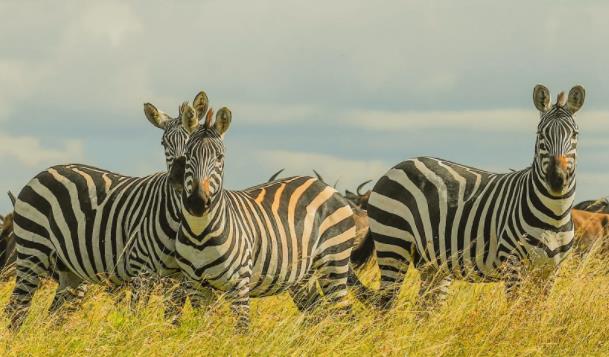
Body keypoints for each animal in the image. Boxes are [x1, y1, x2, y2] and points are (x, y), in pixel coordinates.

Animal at [4, 91, 209, 328]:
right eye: (163, 143)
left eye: (194, 141)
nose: (177, 178)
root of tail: (44, 171)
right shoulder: (141, 269)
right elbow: (136, 317)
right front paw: (135, 336)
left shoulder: (180, 278)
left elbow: (172, 319)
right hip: (32, 250)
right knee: (16, 309)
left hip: (69, 269)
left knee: (55, 315)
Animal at [172, 104, 356, 330]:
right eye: (188, 155)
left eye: (220, 157)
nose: (198, 203)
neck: (199, 233)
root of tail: (325, 186)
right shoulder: (195, 287)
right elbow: (202, 330)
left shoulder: (239, 284)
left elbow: (242, 330)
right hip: (304, 276)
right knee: (316, 312)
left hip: (334, 261)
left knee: (344, 313)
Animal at [352, 85, 584, 312]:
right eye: (540, 134)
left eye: (574, 134)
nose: (557, 179)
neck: (554, 216)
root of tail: (397, 166)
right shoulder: (513, 264)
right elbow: (517, 313)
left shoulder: (550, 270)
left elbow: (538, 313)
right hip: (392, 243)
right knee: (386, 304)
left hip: (431, 263)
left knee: (424, 309)